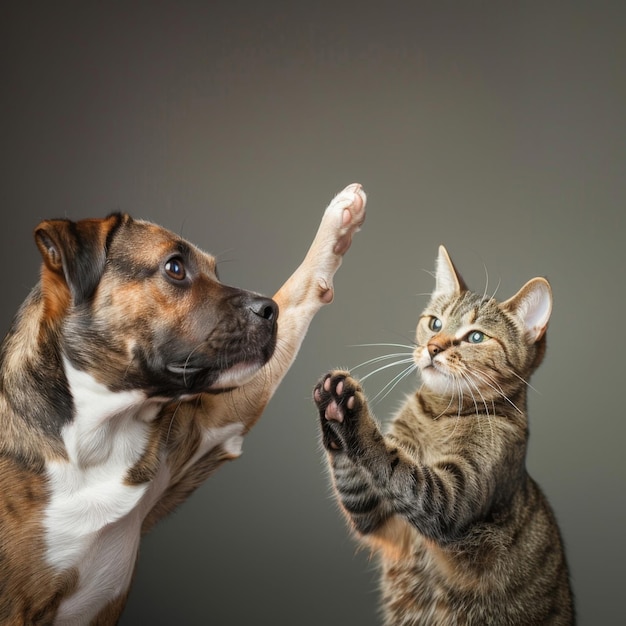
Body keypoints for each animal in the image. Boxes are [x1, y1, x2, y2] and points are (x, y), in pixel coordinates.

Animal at [0, 183, 366, 620]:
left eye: (215, 272)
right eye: (175, 268)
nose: (269, 310)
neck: (96, 433)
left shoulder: (215, 420)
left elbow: (300, 287)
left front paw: (339, 224)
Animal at [314, 245, 572, 624]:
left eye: (476, 336)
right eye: (434, 323)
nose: (433, 346)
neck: (439, 415)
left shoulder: (450, 498)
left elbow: (393, 463)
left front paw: (353, 415)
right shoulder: (378, 515)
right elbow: (359, 476)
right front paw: (334, 404)